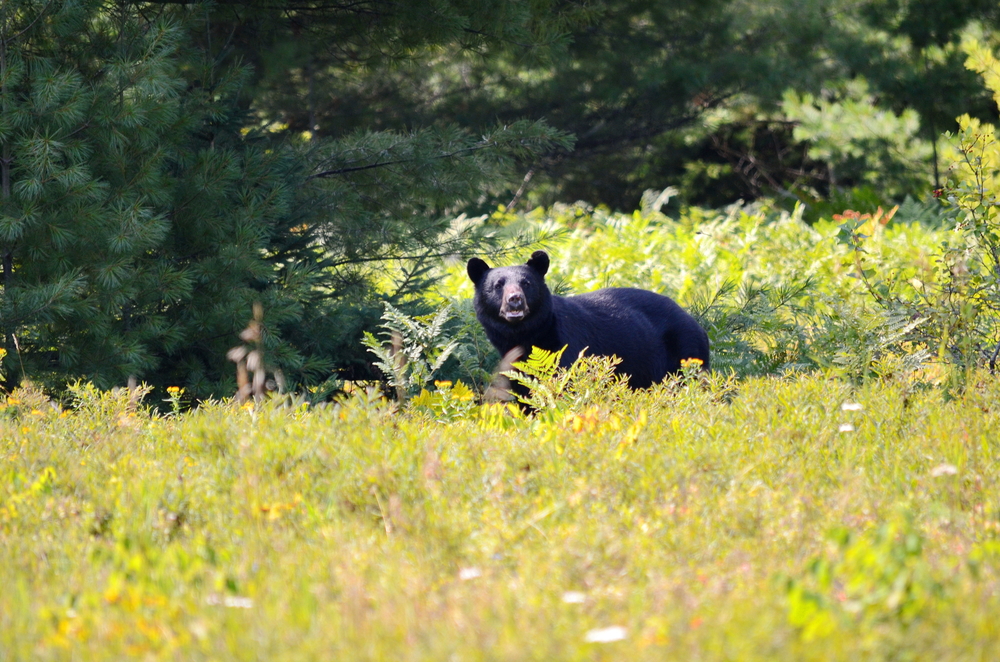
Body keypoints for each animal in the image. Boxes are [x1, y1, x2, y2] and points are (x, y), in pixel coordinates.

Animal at [467, 250, 710, 390]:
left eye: (526, 283)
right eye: (498, 285)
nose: (515, 300)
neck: (527, 337)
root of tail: (696, 323)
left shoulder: (566, 348)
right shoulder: (515, 367)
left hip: (686, 351)